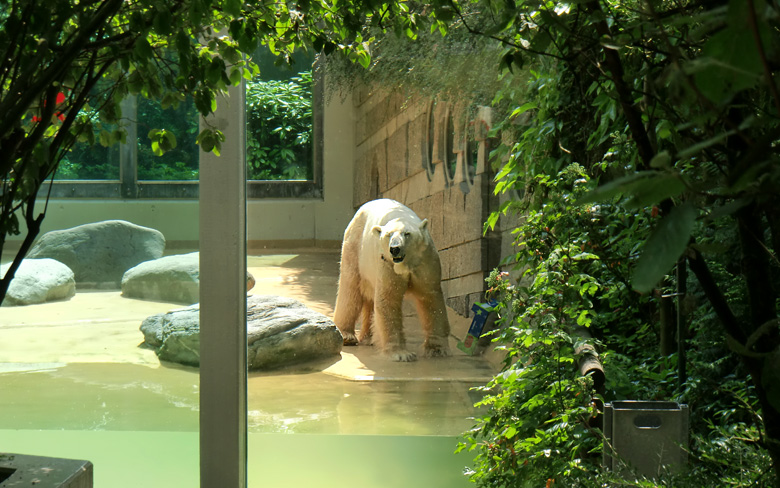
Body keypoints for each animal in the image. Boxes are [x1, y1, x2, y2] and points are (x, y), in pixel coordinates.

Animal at [334, 198, 450, 362]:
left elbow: (430, 298)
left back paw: (368, 337)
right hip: (355, 248)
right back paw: (347, 335)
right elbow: (388, 298)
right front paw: (402, 354)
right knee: (350, 289)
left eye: (407, 233)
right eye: (388, 235)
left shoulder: (425, 262)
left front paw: (437, 350)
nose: (395, 249)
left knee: (369, 296)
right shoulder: (387, 263)